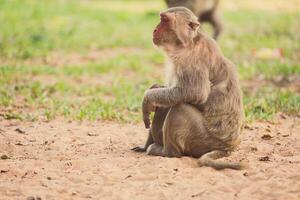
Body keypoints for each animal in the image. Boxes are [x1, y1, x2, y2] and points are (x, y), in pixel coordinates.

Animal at [132, 7, 246, 170]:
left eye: (165, 20)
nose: (154, 30)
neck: (186, 44)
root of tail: (228, 147)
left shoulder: (192, 59)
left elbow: (194, 93)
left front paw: (147, 98)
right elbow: (168, 91)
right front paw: (154, 90)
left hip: (204, 140)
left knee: (180, 108)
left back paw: (167, 151)